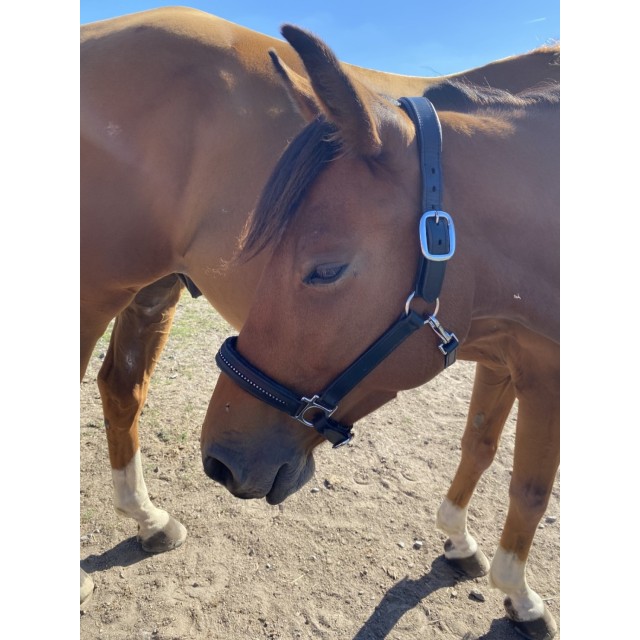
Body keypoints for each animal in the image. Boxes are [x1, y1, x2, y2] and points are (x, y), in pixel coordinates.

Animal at [80, 5, 559, 613]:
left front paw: (459, 541)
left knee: (122, 388)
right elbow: (531, 487)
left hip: (151, 291)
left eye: (326, 270)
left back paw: (148, 520)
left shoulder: (509, 358)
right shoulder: (542, 367)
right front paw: (521, 596)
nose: (219, 460)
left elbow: (480, 445)